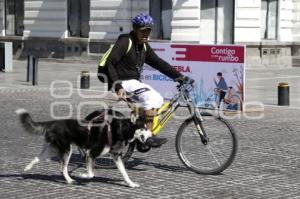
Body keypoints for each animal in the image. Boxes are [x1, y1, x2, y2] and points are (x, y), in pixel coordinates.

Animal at [15, 108, 151, 187]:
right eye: (144, 128)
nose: (152, 135)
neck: (120, 130)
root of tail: (53, 123)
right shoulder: (90, 154)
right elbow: (91, 174)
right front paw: (82, 175)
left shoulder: (116, 156)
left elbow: (124, 173)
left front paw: (131, 184)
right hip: (67, 150)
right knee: (62, 168)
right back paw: (70, 180)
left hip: (52, 149)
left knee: (37, 158)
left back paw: (27, 168)